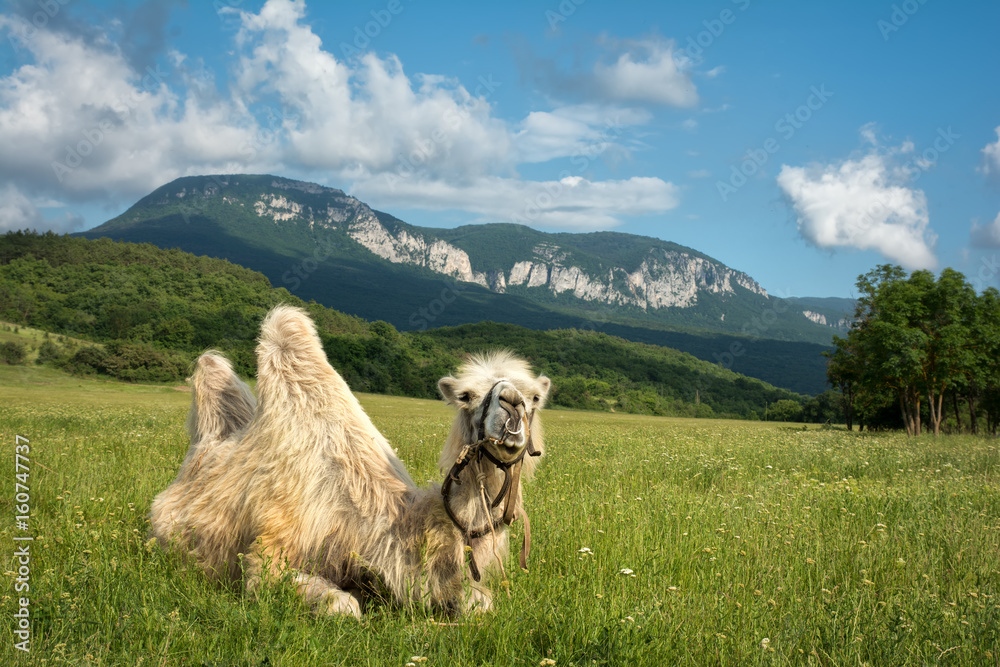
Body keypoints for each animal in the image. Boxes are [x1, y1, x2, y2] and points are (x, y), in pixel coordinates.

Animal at [149, 305, 551, 617]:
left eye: (535, 397)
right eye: (466, 395)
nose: (512, 408)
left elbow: (482, 604)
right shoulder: (270, 549)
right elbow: (341, 605)